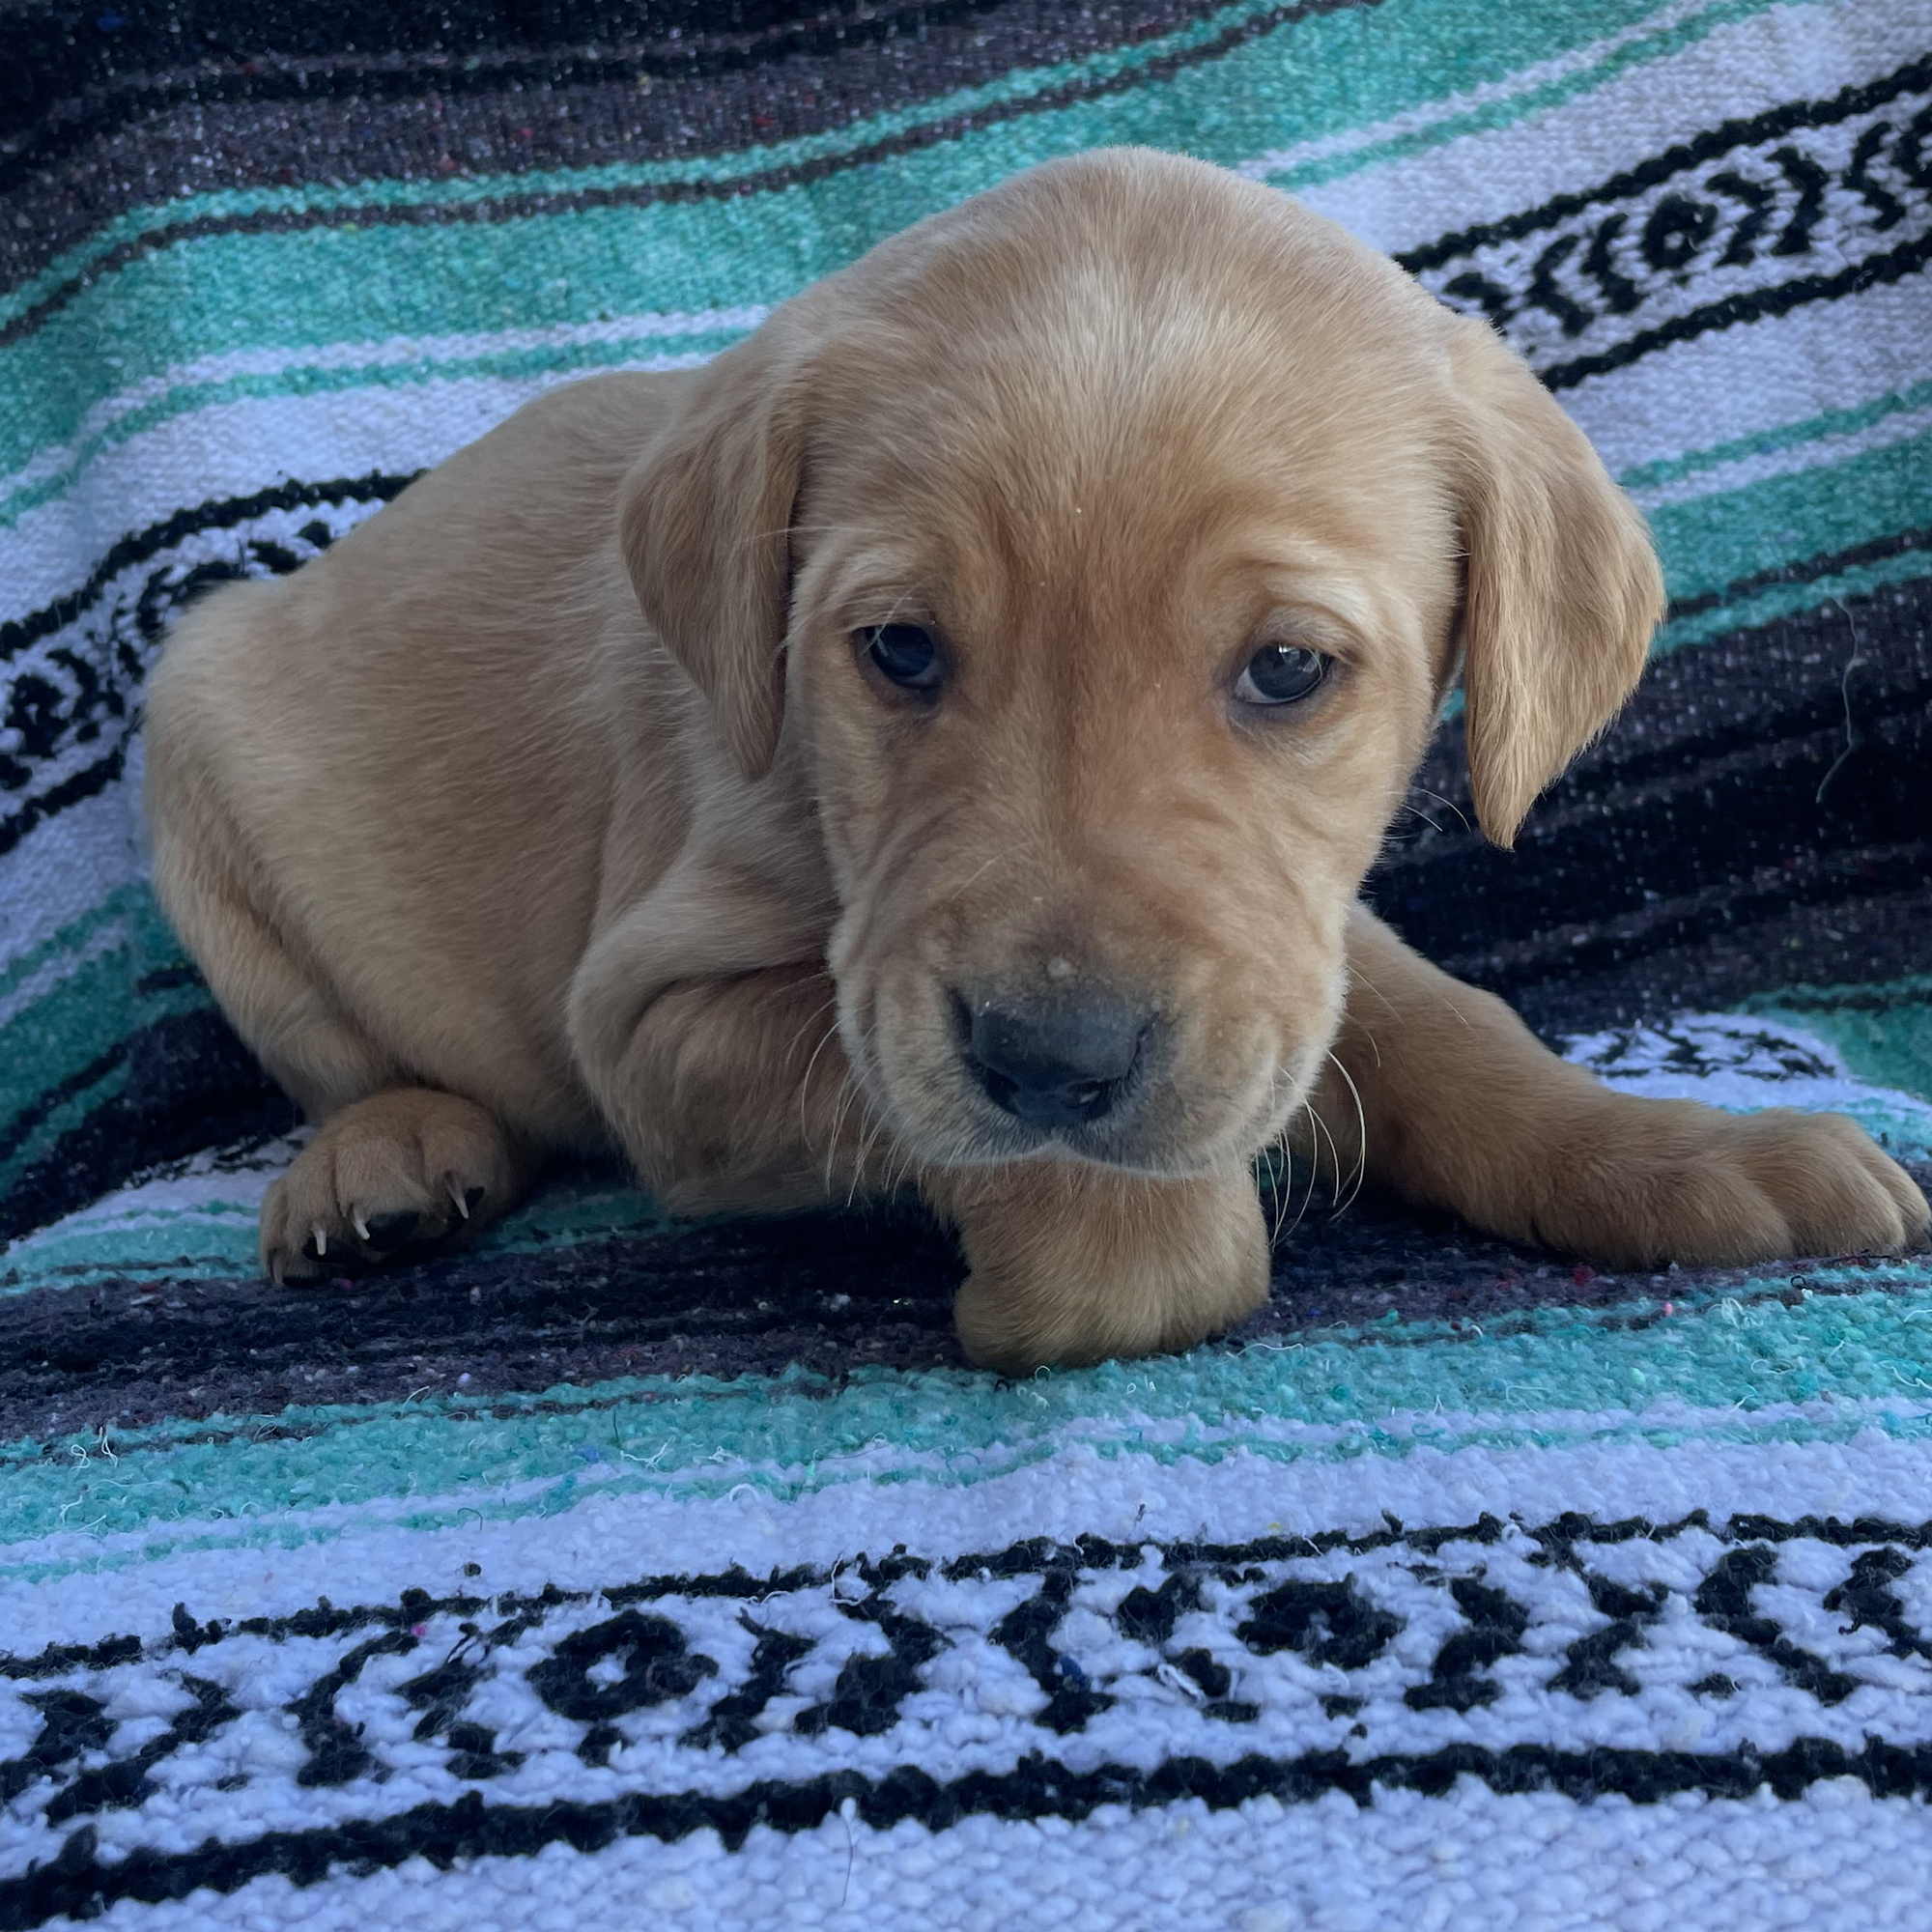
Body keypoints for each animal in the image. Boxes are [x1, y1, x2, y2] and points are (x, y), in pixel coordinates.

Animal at [140, 151, 1932, 1368]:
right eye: (899, 650)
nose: (1056, 1061)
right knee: (373, 1066)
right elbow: (930, 1106)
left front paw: (1675, 1150)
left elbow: (1450, 1026)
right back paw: (385, 1159)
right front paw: (1105, 1252)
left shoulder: (1291, 933)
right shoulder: (654, 1019)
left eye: (1288, 669)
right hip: (197, 753)